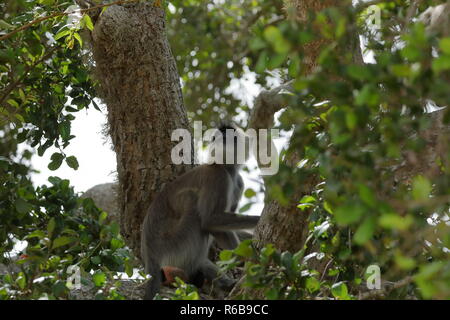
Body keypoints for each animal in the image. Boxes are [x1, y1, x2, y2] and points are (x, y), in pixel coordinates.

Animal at [142, 123, 258, 300]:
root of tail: (150, 255)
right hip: (174, 243)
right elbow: (209, 221)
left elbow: (218, 229)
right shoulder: (217, 176)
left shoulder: (238, 182)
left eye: (230, 137)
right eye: (216, 138)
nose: (221, 141)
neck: (226, 168)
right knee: (192, 201)